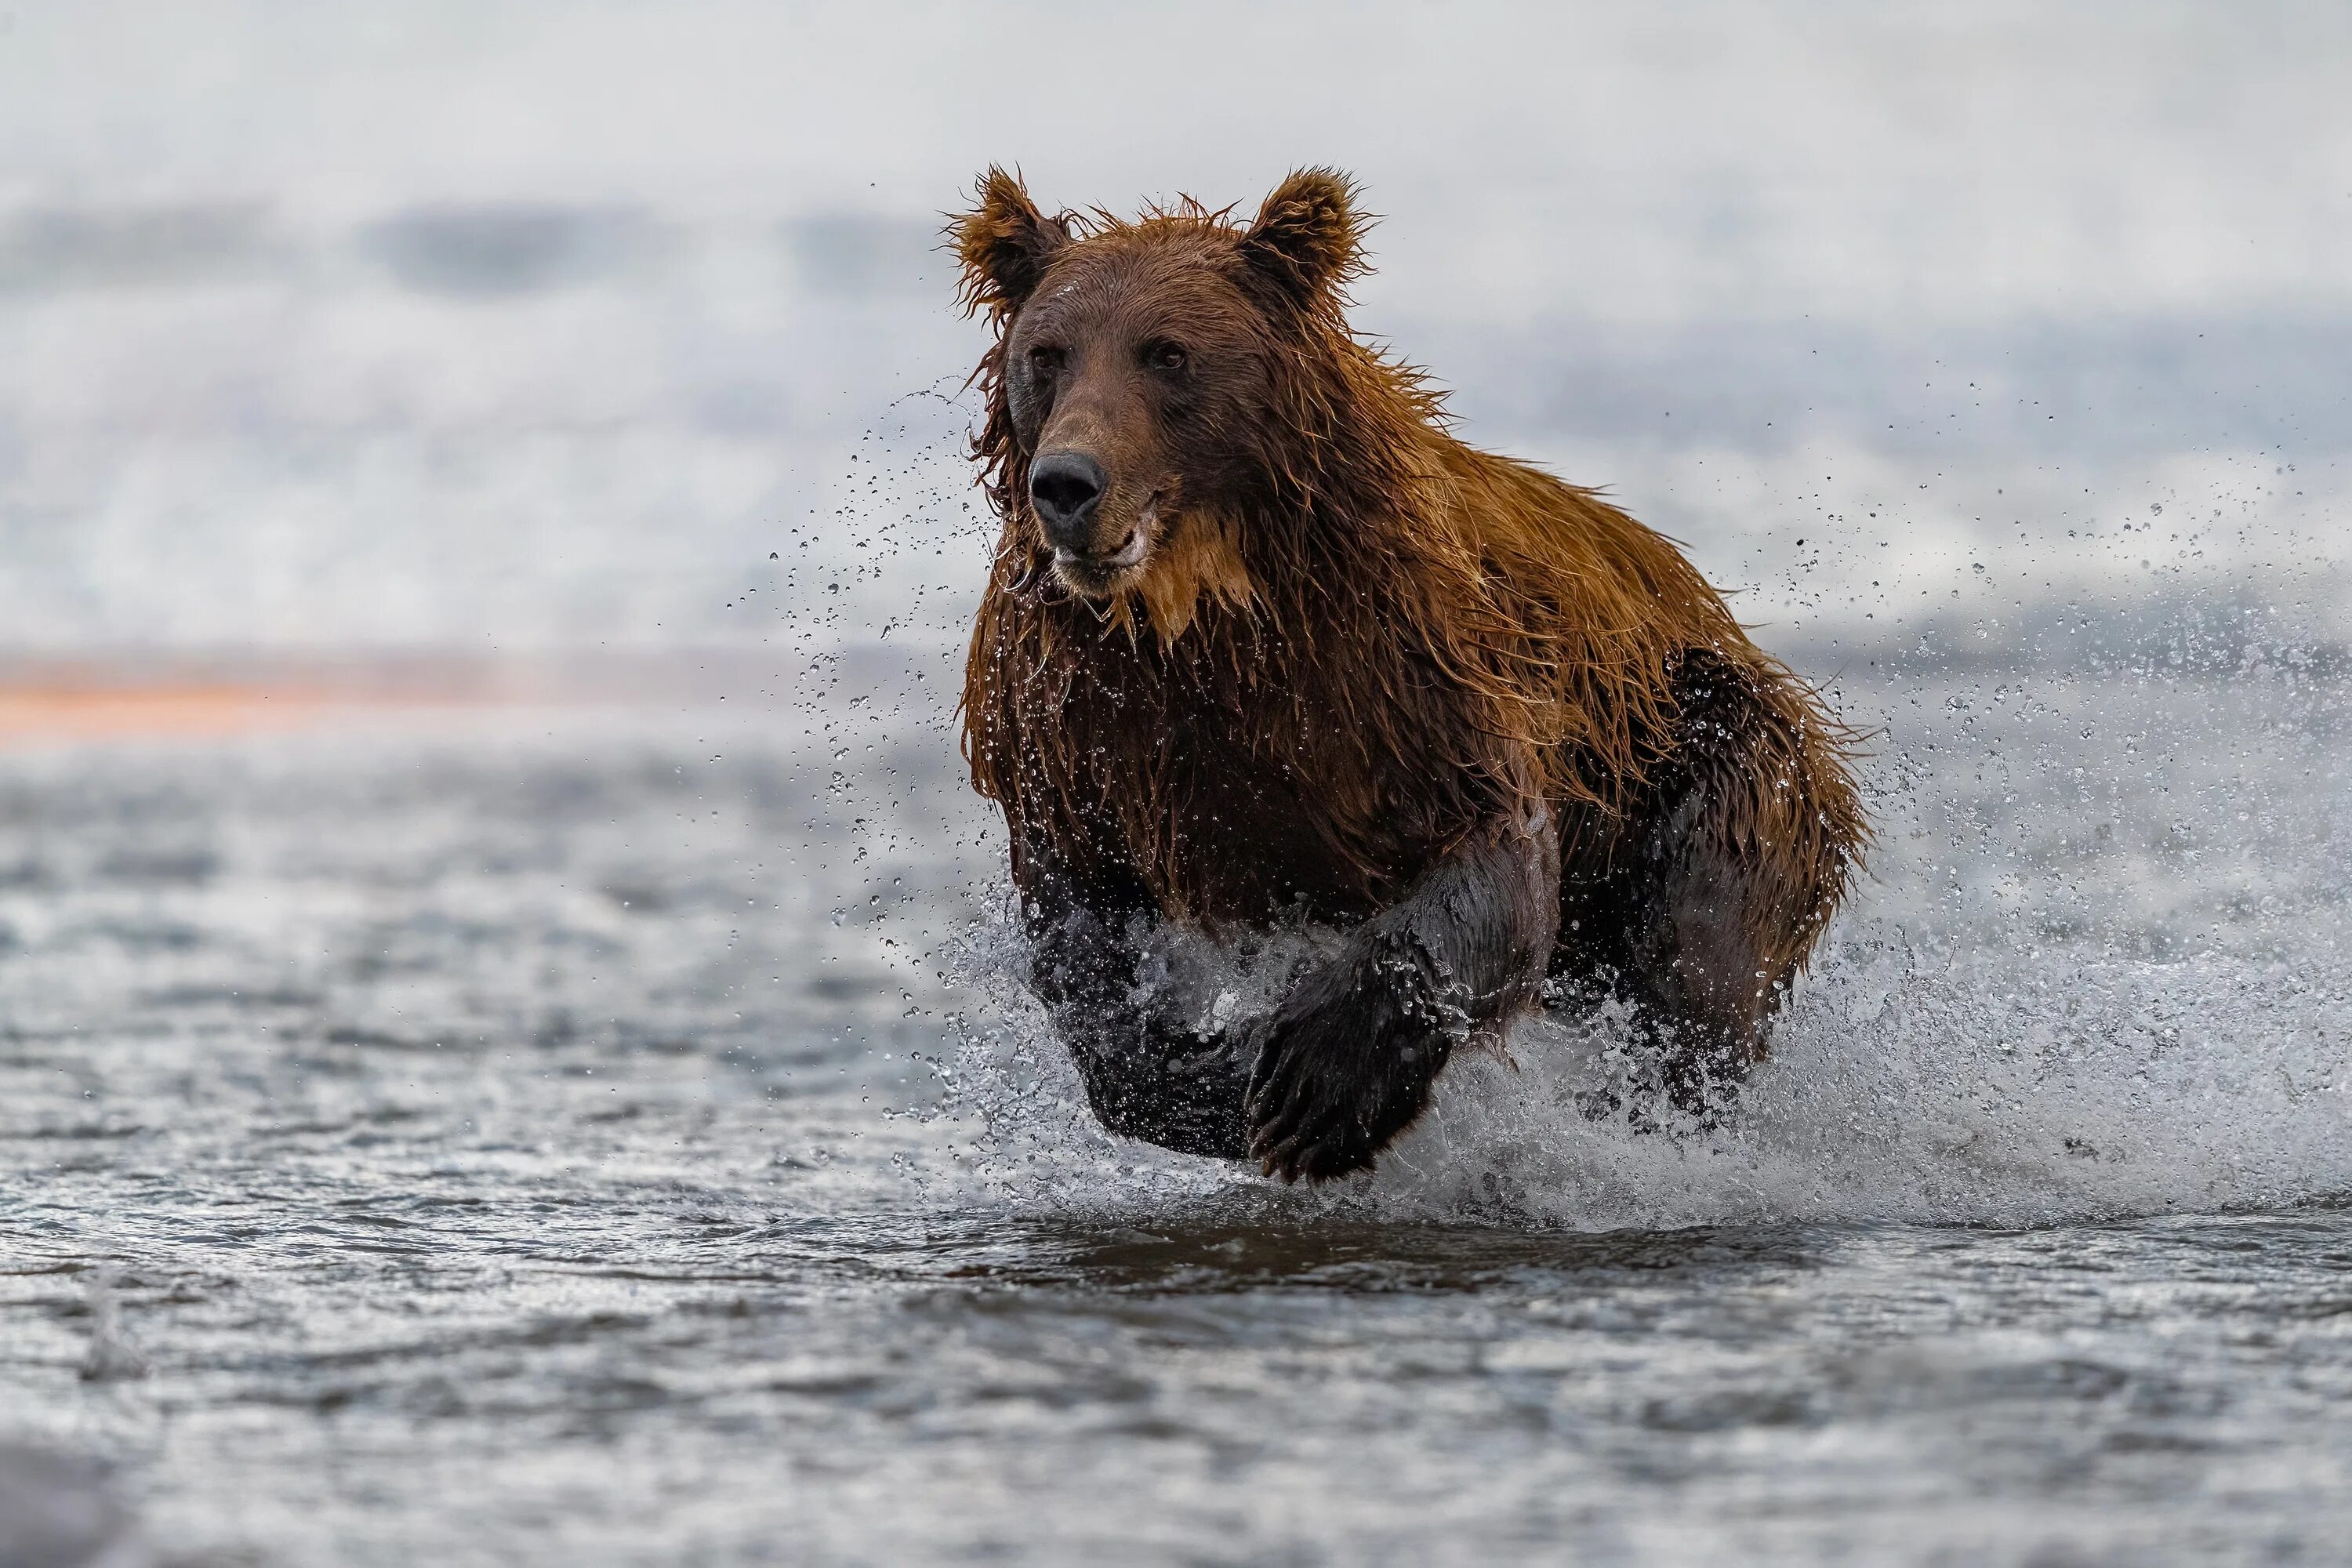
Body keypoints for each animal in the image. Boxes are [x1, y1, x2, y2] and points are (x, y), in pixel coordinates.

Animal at [946, 169, 1863, 1175]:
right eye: (1048, 354)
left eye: (1168, 353)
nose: (1067, 483)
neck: (1201, 610)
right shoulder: (1075, 725)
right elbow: (1082, 930)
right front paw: (1215, 1077)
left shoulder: (1408, 666)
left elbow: (1494, 861)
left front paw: (1319, 1083)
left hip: (1710, 745)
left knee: (1700, 953)